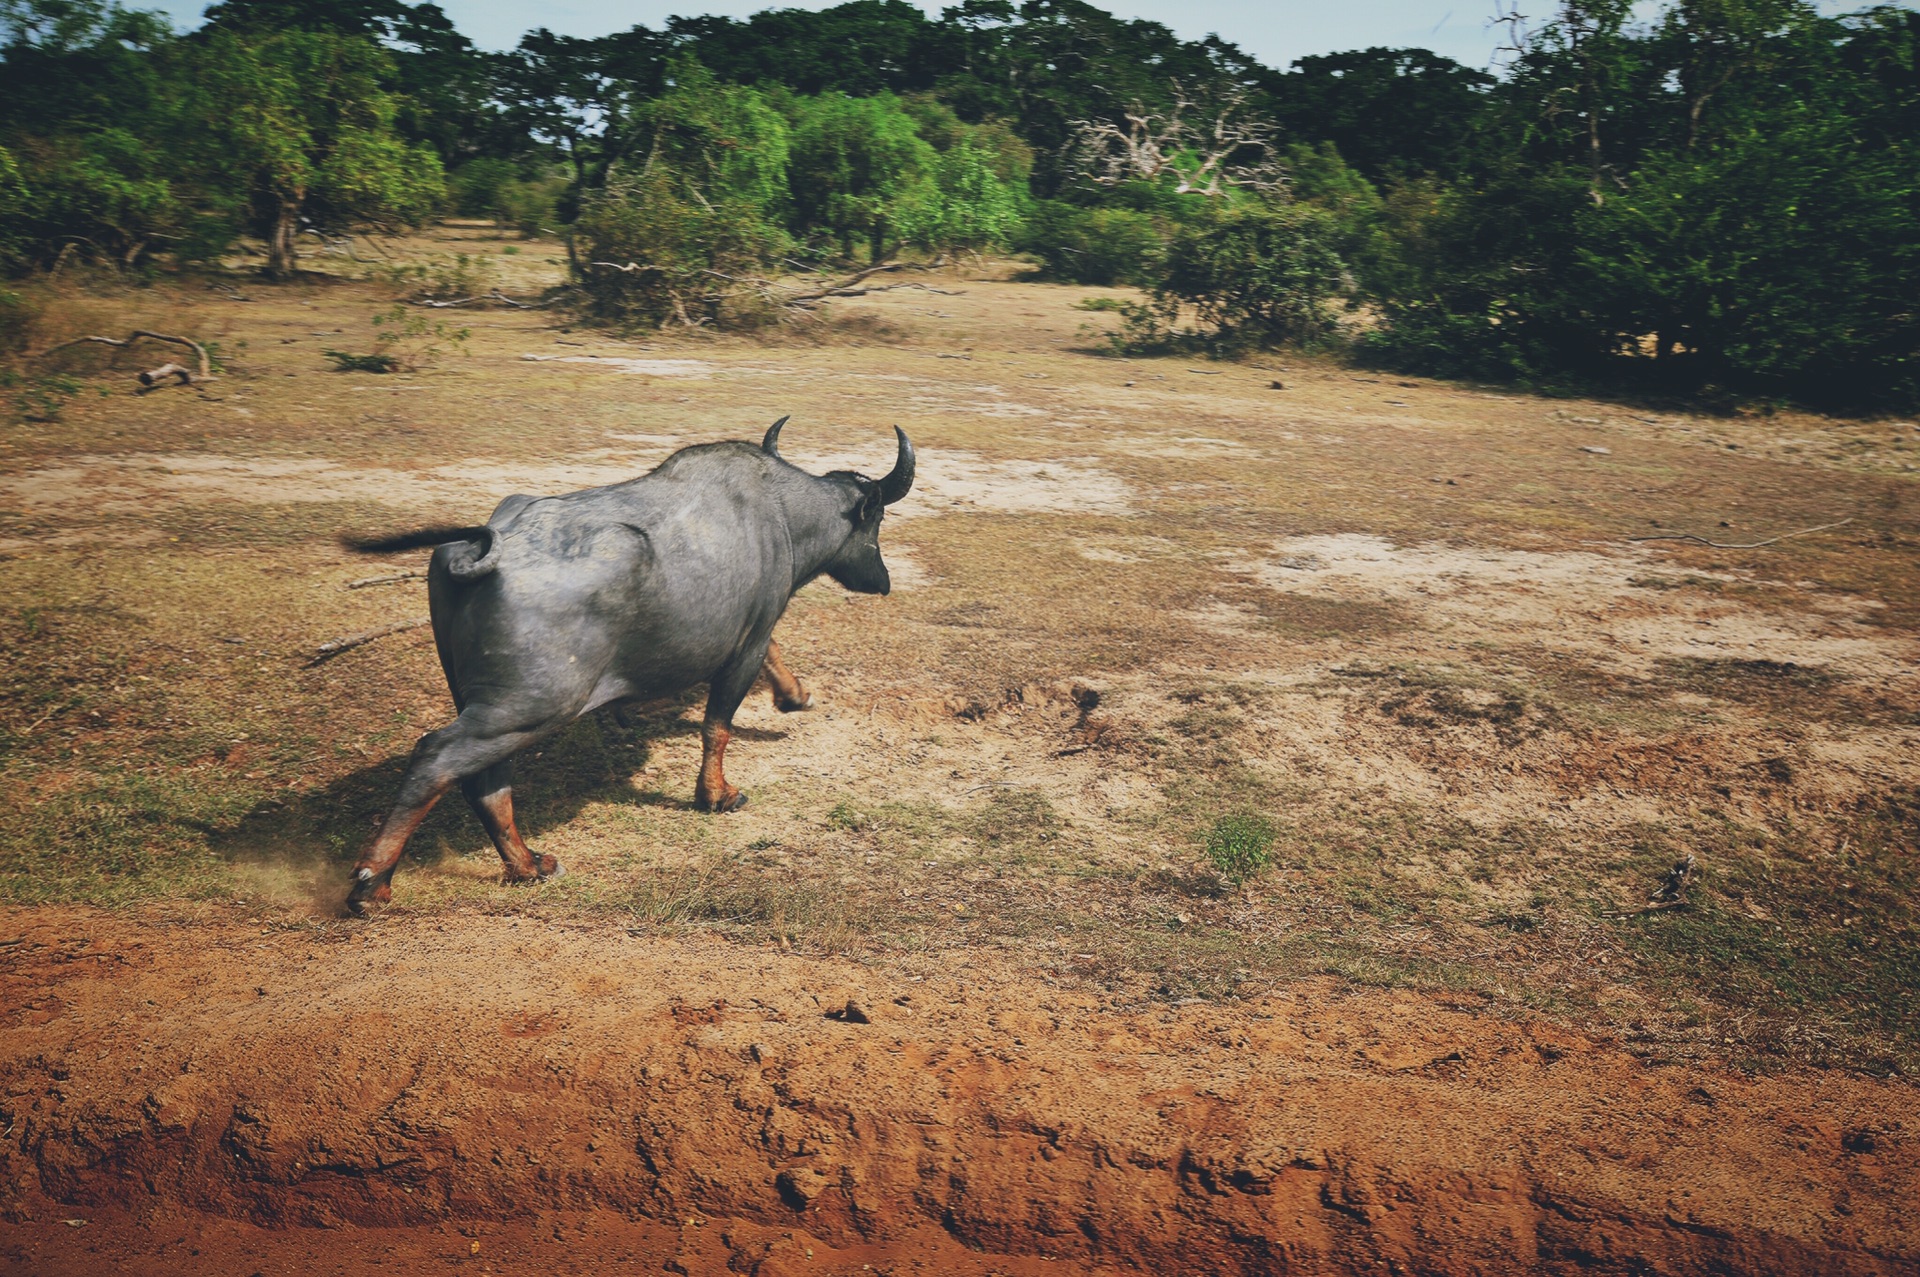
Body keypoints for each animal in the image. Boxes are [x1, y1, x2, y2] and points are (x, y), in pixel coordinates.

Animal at [341, 422, 910, 910]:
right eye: (878, 521)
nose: (883, 581)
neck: (781, 514)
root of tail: (481, 551)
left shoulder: (752, 631)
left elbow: (770, 657)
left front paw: (795, 695)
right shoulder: (744, 647)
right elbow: (718, 726)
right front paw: (718, 795)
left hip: (490, 706)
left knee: (484, 781)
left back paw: (527, 865)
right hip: (529, 707)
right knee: (436, 758)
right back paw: (371, 883)